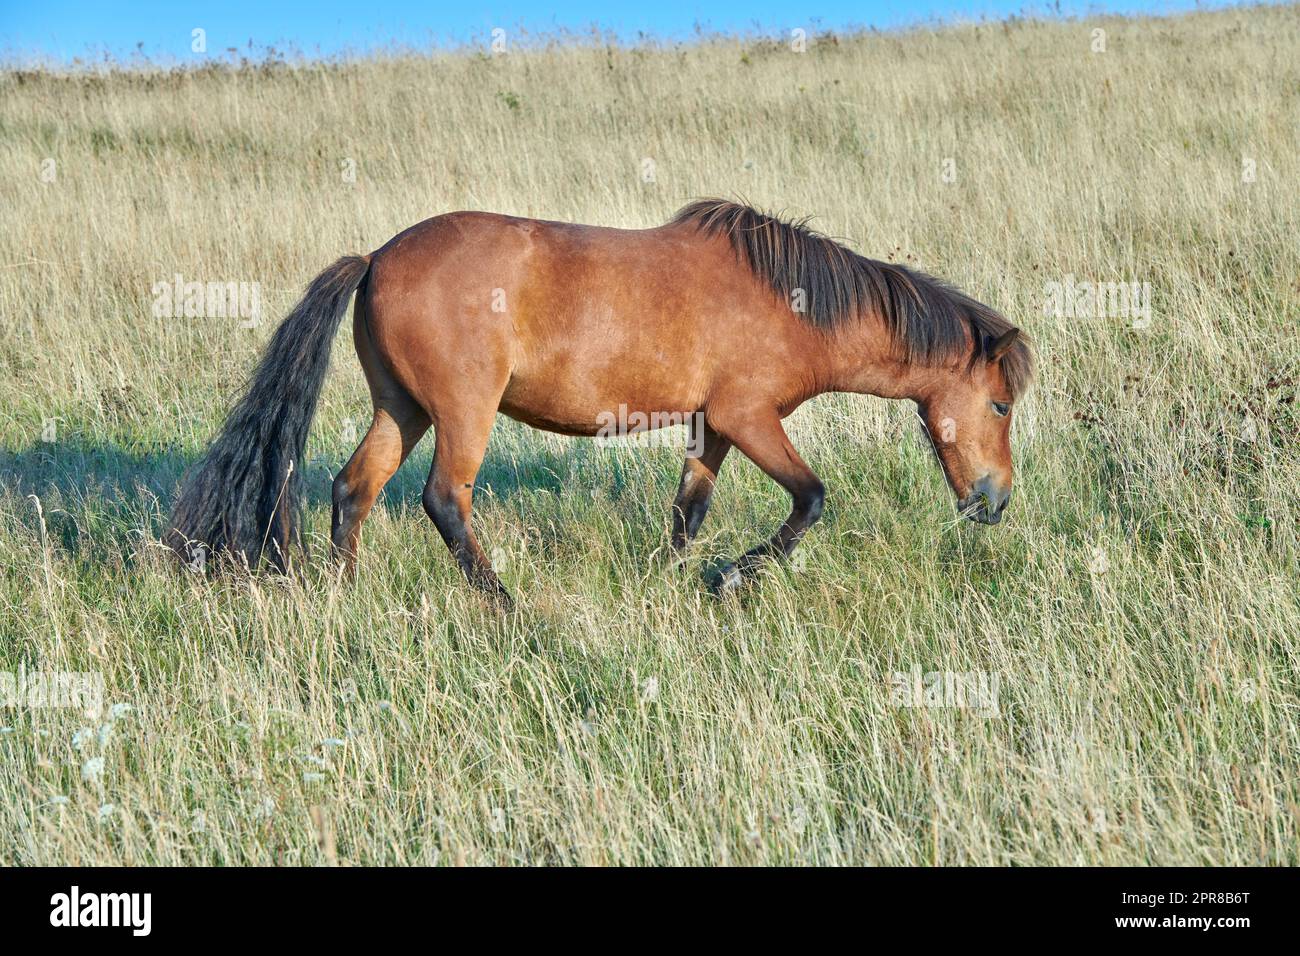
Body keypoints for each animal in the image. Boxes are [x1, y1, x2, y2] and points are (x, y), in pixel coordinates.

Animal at [165, 200, 1034, 606]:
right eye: (999, 406)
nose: (995, 503)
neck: (791, 301)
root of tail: (376, 257)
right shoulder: (750, 420)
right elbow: (811, 500)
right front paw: (733, 577)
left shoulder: (713, 427)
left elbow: (689, 510)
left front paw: (673, 577)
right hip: (463, 413)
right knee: (444, 500)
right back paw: (505, 606)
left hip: (402, 410)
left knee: (355, 489)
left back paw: (344, 591)